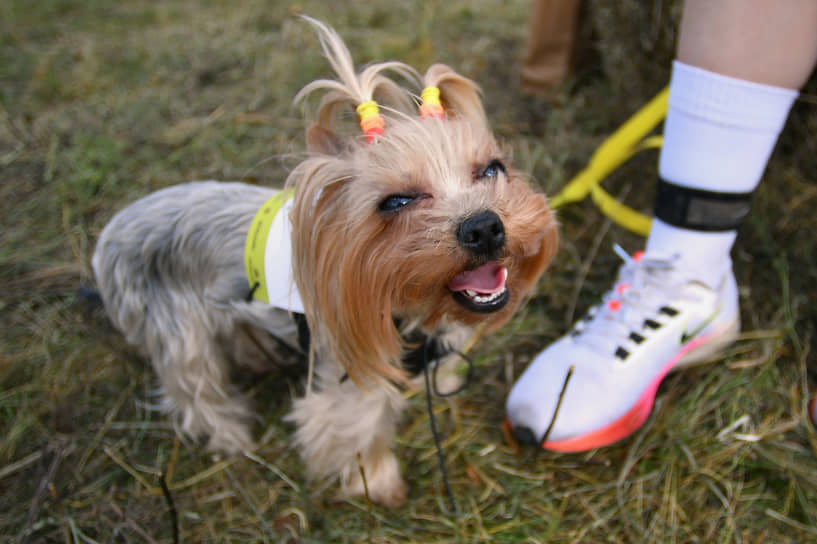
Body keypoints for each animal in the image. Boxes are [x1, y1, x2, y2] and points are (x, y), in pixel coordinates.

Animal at [92, 18, 556, 510]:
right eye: (396, 201)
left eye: (492, 169)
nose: (484, 227)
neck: (413, 309)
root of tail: (110, 233)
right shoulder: (351, 378)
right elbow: (360, 431)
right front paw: (380, 485)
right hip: (177, 331)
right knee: (195, 390)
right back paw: (232, 437)